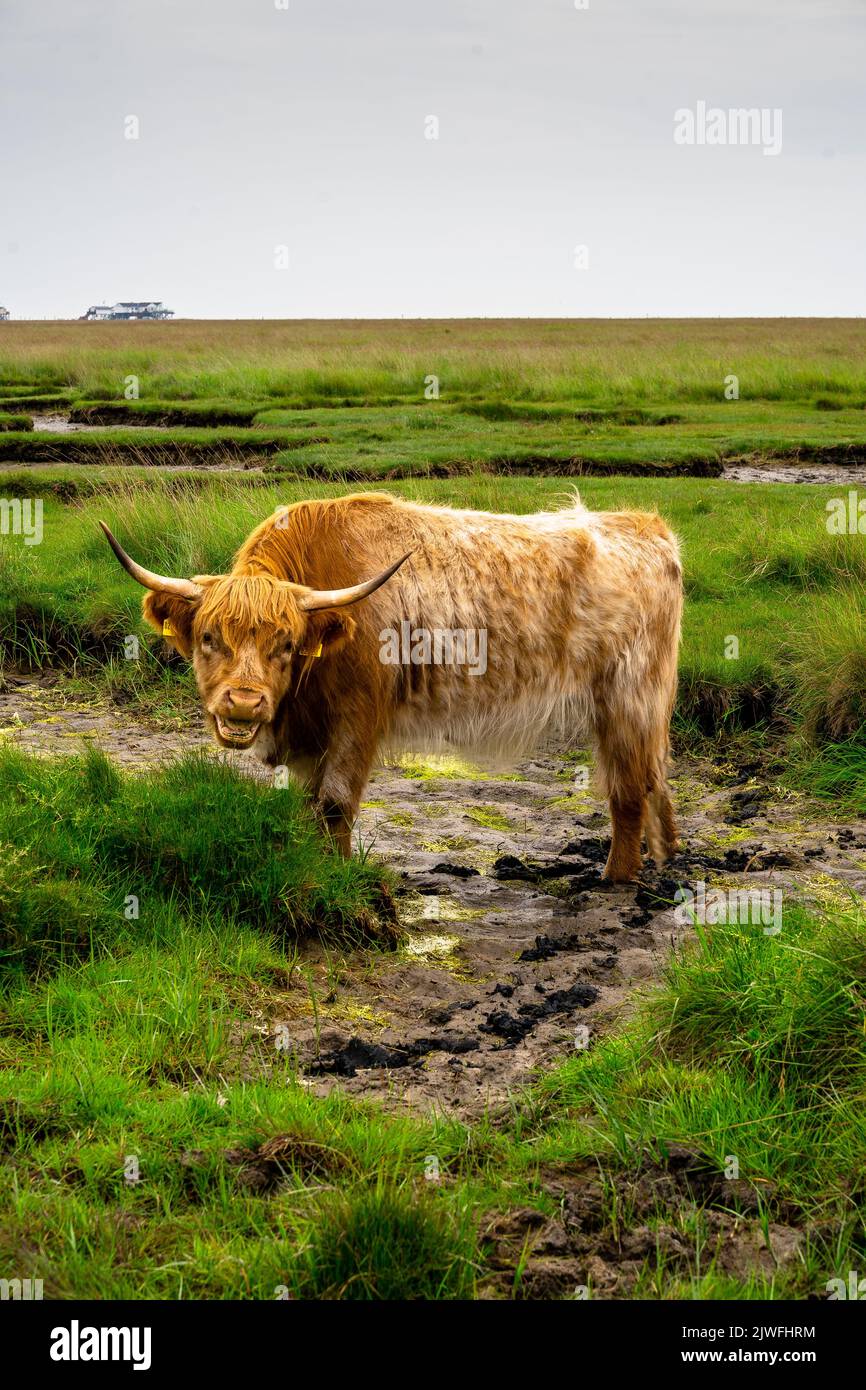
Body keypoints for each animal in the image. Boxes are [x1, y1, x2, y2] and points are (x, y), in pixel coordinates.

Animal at [100, 490, 682, 880]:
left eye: (285, 644)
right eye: (207, 637)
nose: (244, 704)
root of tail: (648, 527)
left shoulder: (359, 715)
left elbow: (335, 803)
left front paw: (338, 877)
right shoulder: (311, 733)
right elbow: (308, 805)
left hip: (629, 700)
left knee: (629, 789)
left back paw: (615, 878)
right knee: (645, 782)